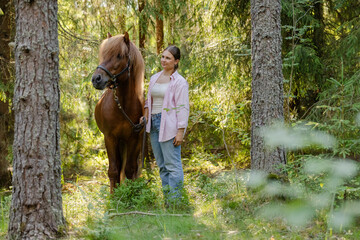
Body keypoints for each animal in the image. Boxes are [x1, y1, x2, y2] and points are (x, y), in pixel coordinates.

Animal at [91, 32, 145, 193]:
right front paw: (114, 196)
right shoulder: (110, 138)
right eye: (103, 54)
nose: (96, 79)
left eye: (119, 55)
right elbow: (113, 171)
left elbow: (130, 169)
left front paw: (130, 194)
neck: (123, 107)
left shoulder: (134, 138)